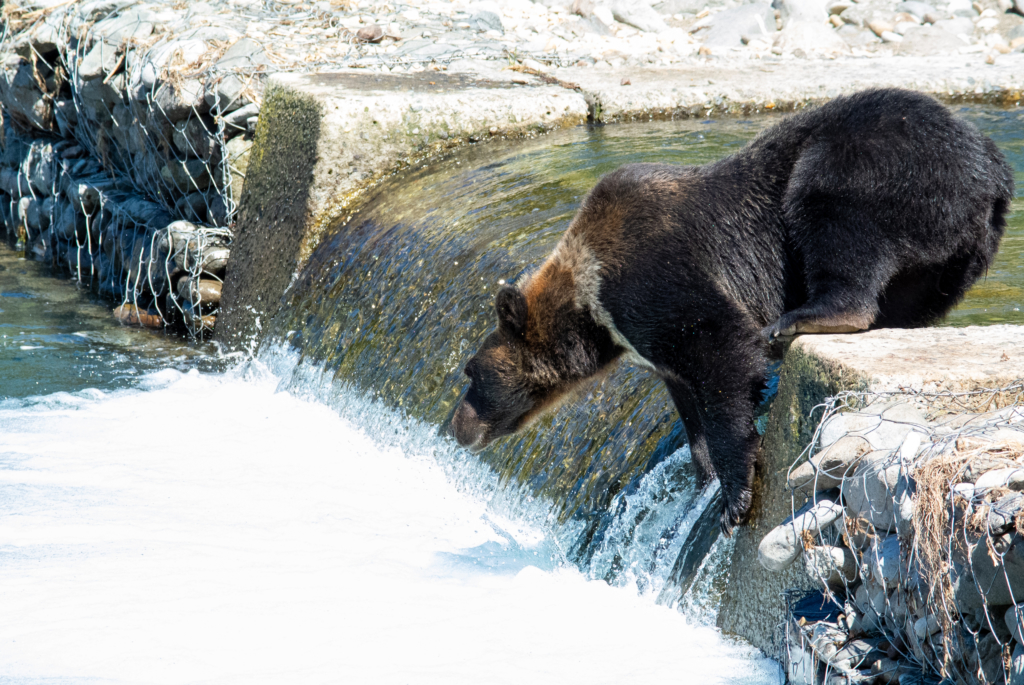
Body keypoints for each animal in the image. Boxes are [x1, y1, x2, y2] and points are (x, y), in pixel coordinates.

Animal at [450, 87, 1015, 532]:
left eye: (472, 373)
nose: (456, 426)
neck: (591, 309)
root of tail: (991, 163)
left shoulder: (652, 273)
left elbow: (722, 349)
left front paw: (734, 496)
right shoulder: (650, 338)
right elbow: (686, 393)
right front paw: (701, 476)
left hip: (877, 160)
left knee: (829, 212)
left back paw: (808, 316)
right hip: (952, 258)